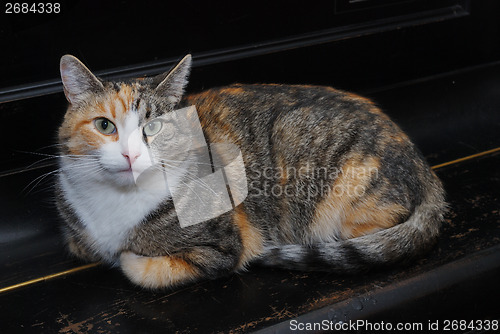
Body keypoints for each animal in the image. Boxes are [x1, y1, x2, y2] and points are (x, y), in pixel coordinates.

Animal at [56, 53, 448, 288]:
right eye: (105, 126)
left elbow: (140, 268)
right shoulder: (77, 234)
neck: (119, 200)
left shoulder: (222, 247)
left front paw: (128, 257)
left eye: (154, 128)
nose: (130, 155)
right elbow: (85, 247)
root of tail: (423, 166)